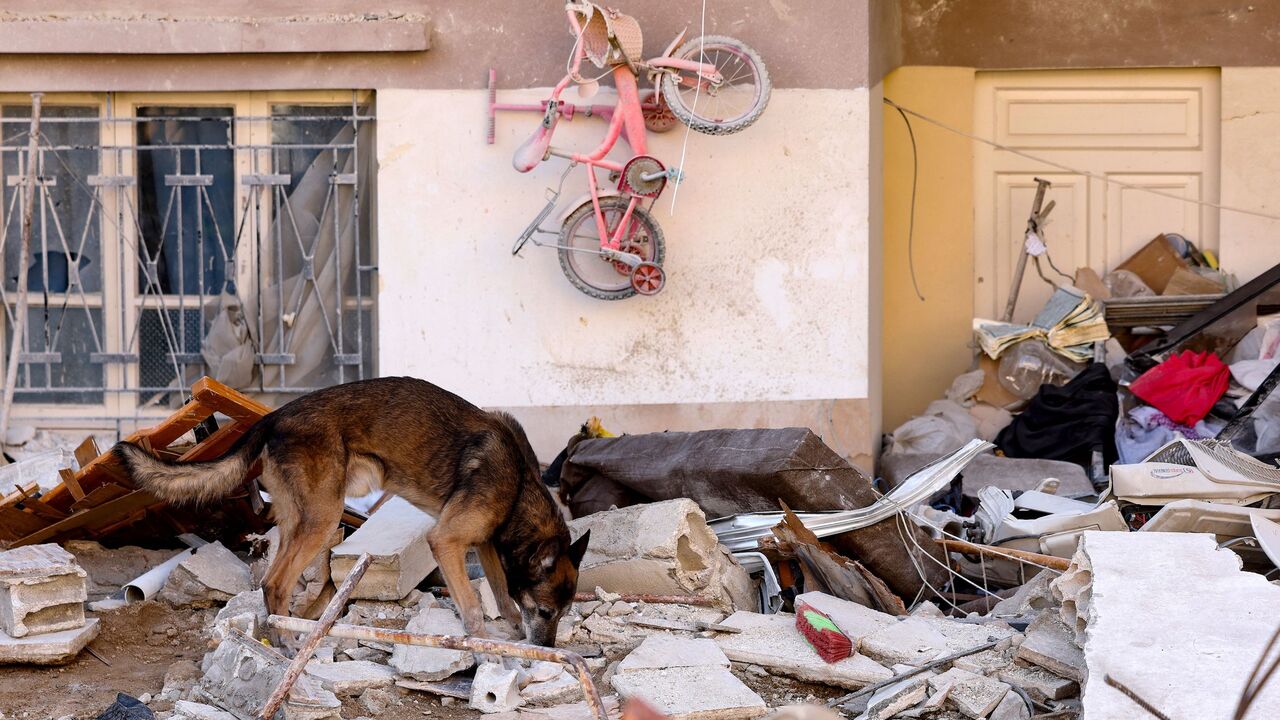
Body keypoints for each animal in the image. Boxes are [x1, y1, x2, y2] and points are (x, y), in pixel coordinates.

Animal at [112, 376, 586, 645]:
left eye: (562, 615)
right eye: (547, 613)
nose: (548, 649)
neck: (520, 484)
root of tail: (273, 417)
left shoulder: (485, 542)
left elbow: (503, 596)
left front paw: (511, 634)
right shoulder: (448, 540)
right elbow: (472, 607)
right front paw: (488, 653)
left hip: (301, 520)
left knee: (278, 583)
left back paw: (293, 633)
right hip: (323, 520)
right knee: (275, 584)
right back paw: (291, 645)